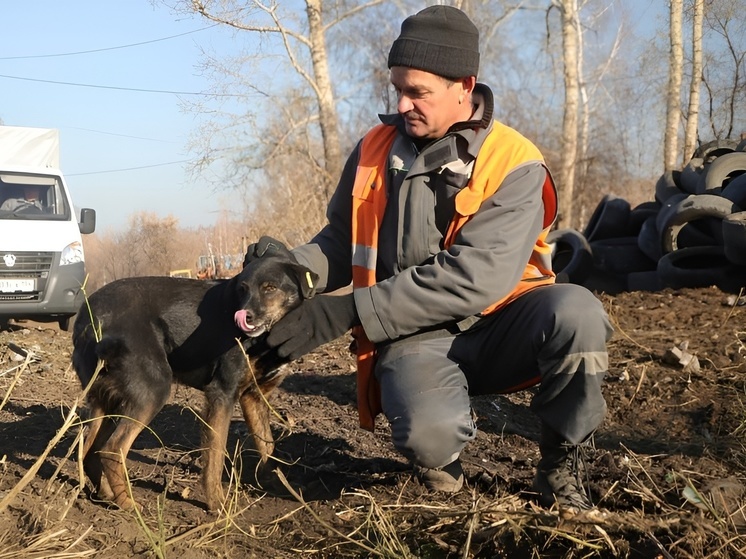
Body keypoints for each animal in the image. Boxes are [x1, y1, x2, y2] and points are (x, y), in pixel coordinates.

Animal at [70, 254, 314, 512]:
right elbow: (216, 454)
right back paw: (128, 504)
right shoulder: (221, 393)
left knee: (88, 451)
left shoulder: (254, 398)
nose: (244, 317)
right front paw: (217, 503)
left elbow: (267, 447)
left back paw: (107, 495)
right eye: (243, 289)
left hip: (108, 399)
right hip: (152, 389)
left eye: (270, 288)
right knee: (112, 450)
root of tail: (87, 317)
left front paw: (281, 487)